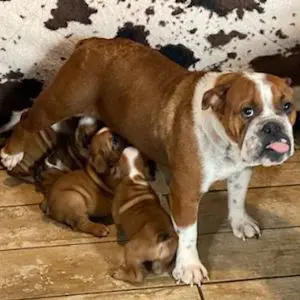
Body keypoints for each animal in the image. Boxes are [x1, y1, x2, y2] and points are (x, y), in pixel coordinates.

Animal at [112, 147, 178, 284]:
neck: (135, 175)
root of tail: (162, 238)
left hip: (130, 249)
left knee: (137, 276)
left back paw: (120, 274)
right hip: (163, 259)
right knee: (158, 269)